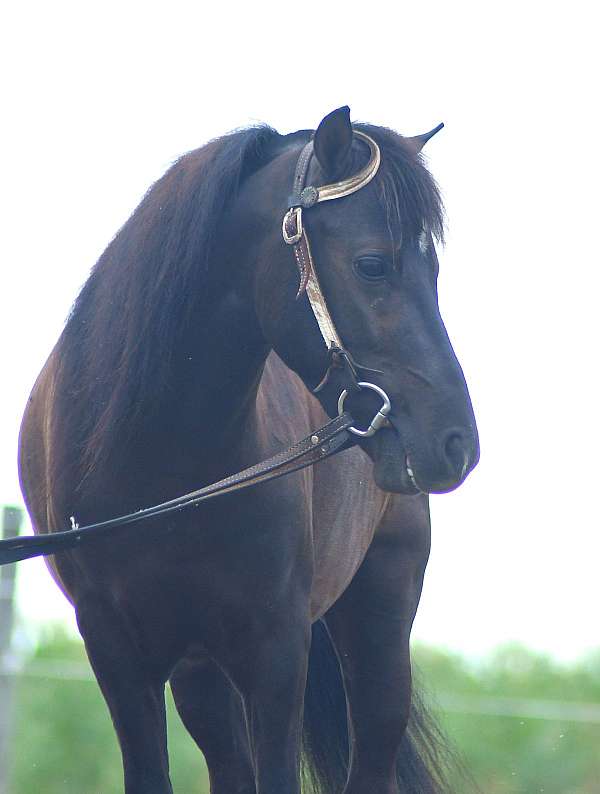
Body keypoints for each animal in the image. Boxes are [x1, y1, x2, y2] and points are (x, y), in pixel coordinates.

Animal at [18, 106, 479, 794]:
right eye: (373, 265)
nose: (458, 443)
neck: (161, 469)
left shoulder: (276, 650)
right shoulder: (117, 654)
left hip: (380, 619)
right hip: (200, 673)